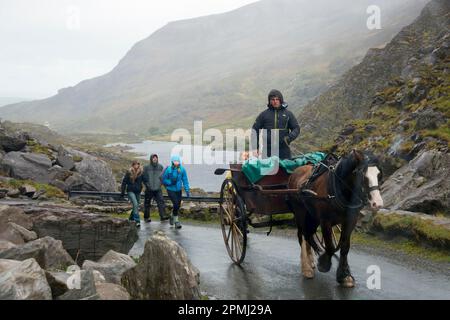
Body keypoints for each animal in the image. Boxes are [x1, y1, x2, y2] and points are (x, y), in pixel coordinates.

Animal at [288, 150, 384, 288]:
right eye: (362, 175)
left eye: (379, 174)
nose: (378, 203)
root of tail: (296, 171)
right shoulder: (325, 221)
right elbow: (330, 245)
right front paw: (324, 263)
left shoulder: (350, 221)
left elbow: (344, 246)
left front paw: (344, 276)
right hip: (300, 212)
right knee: (302, 235)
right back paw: (306, 268)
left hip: (312, 216)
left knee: (308, 234)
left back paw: (310, 261)